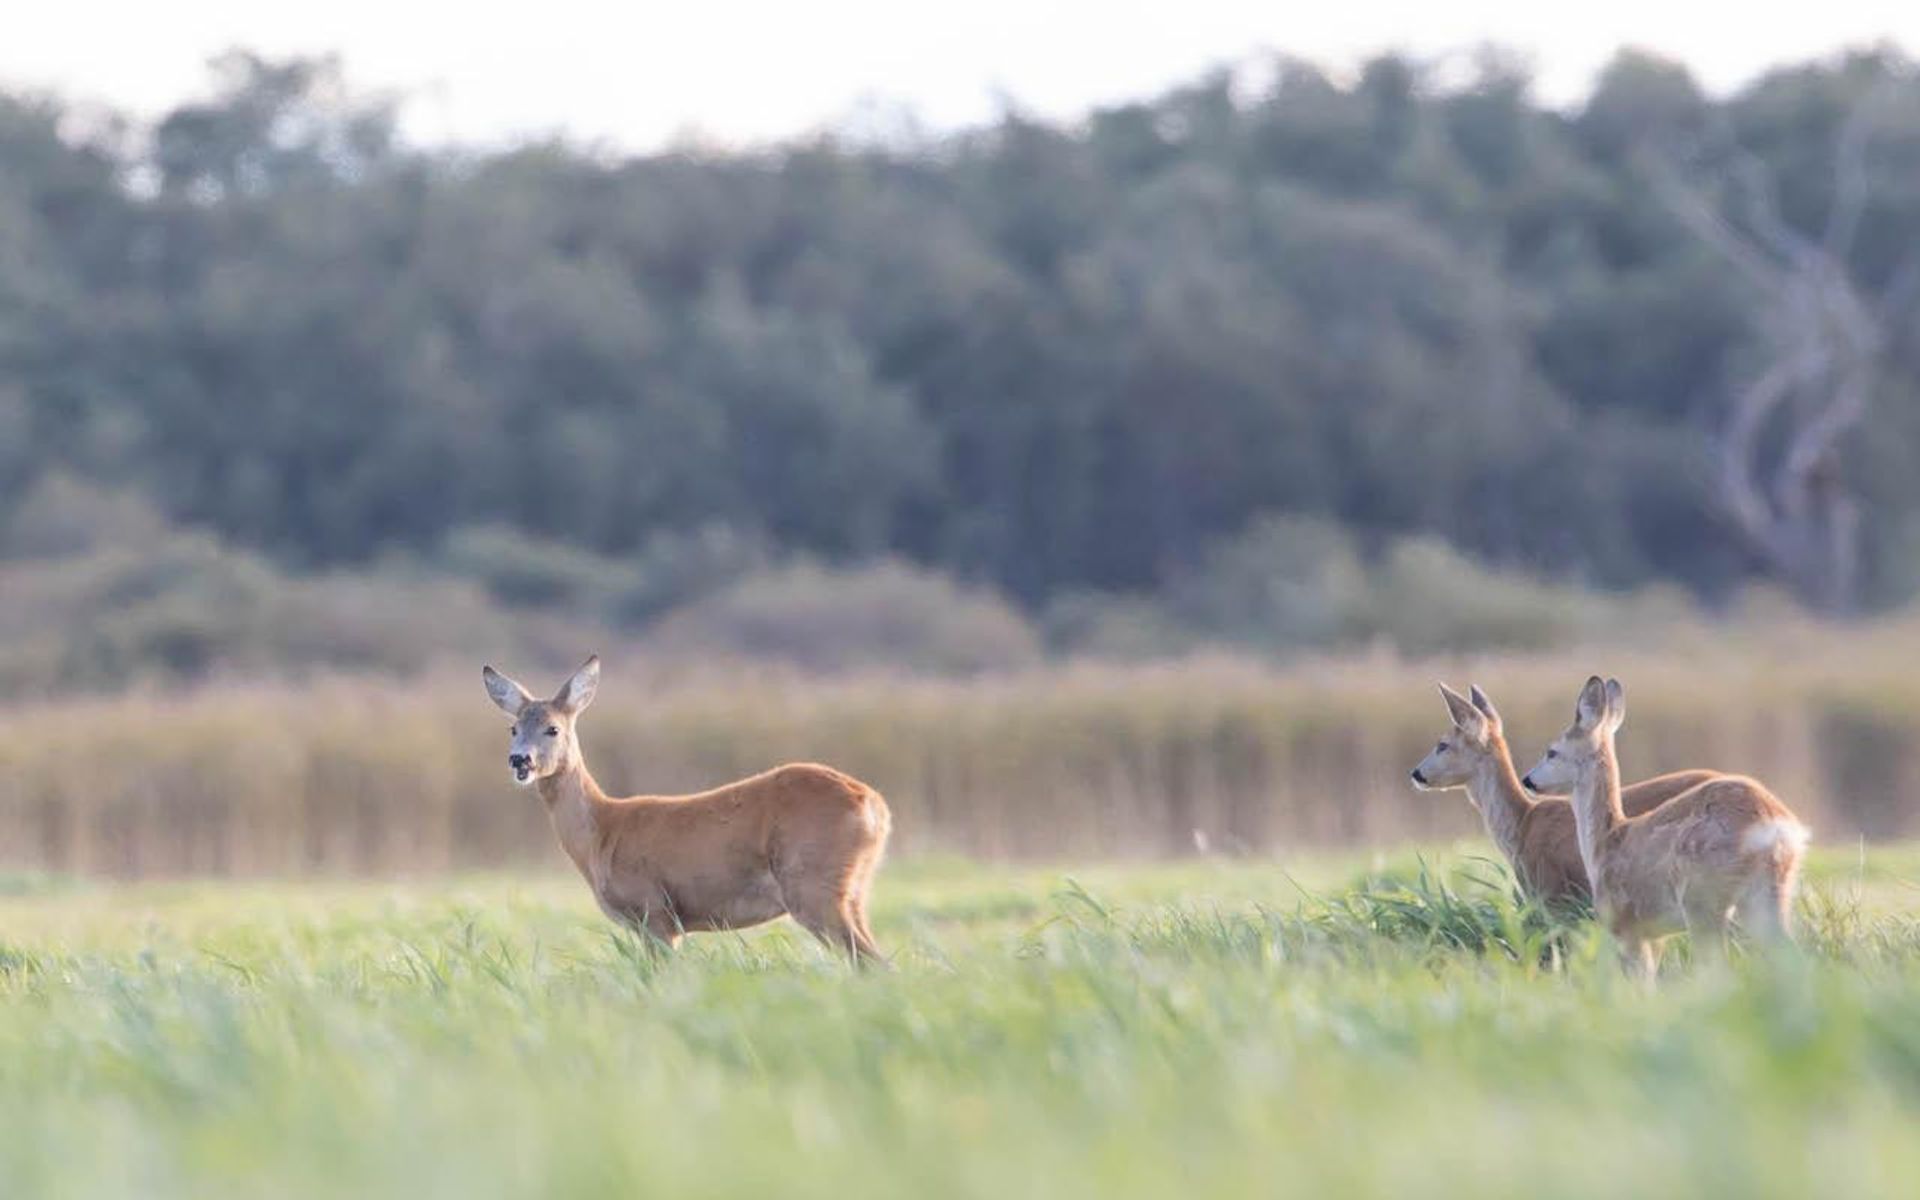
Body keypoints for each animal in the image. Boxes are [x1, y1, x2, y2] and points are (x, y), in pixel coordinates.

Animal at [482, 657, 891, 965]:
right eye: (513, 728)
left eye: (552, 728)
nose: (519, 760)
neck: (601, 831)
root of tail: (875, 805)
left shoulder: (656, 912)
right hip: (852, 890)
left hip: (813, 883)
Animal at [1521, 676, 1808, 977]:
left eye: (1552, 752)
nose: (1527, 779)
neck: (1604, 841)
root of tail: (1774, 825)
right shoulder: (1652, 935)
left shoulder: (1628, 926)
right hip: (1770, 891)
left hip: (1702, 897)